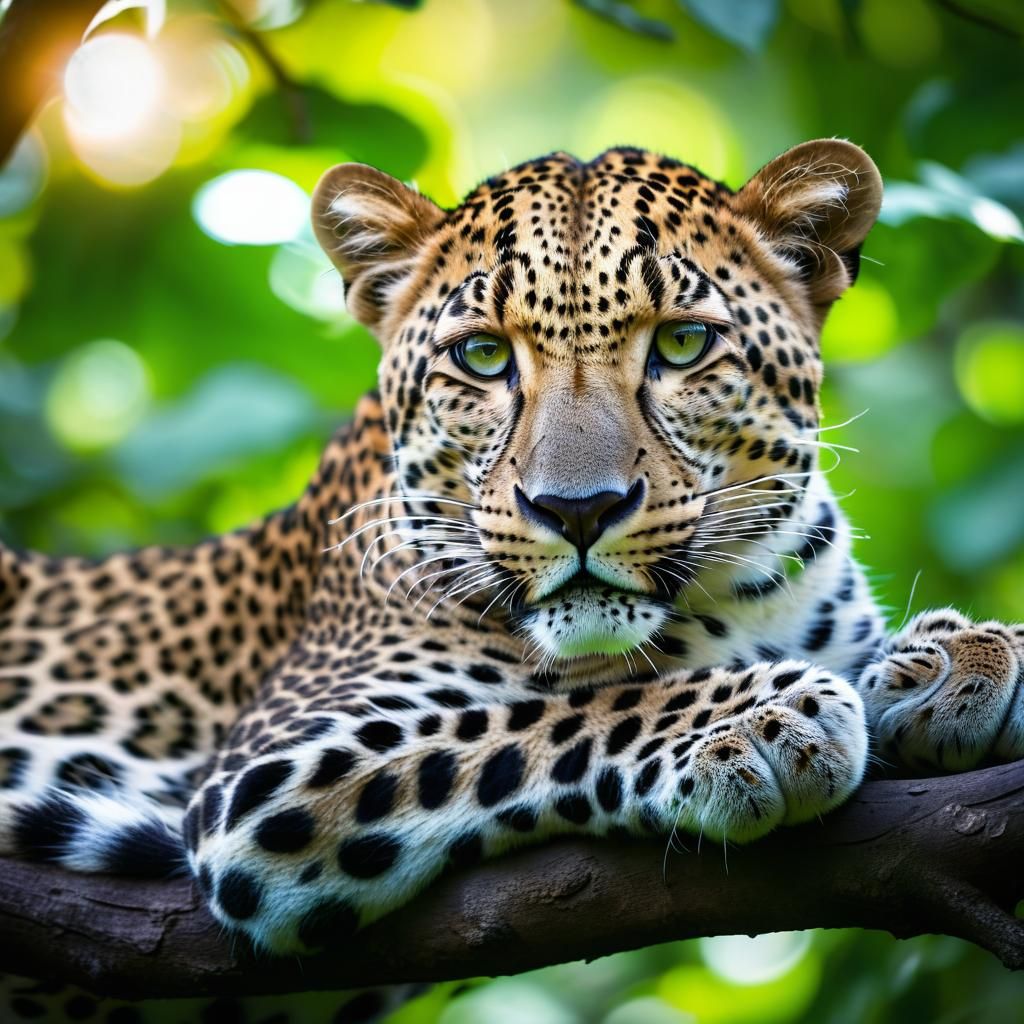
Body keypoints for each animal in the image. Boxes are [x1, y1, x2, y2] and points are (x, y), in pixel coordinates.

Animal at [2, 139, 1023, 1022]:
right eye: (484, 355)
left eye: (683, 344)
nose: (578, 509)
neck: (726, 608)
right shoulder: (268, 777)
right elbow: (556, 711)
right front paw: (753, 720)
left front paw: (964, 661)